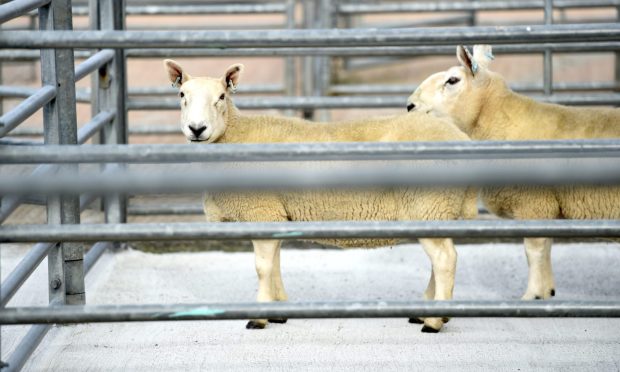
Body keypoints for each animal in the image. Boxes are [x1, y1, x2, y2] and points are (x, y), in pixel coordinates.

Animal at [162, 59, 478, 332]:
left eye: (221, 97)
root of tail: (460, 138)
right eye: (181, 95)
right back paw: (428, 312)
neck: (236, 135)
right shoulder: (278, 214)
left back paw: (433, 322)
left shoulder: (261, 211)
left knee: (445, 259)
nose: (197, 129)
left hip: (429, 203)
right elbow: (275, 265)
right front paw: (278, 314)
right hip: (438, 208)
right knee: (443, 259)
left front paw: (258, 319)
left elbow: (263, 268)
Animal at [406, 45, 620, 302]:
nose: (409, 106)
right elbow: (547, 246)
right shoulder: (546, 205)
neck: (498, 119)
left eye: (453, 80)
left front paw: (532, 295)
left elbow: (534, 250)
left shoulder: (533, 202)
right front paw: (547, 291)